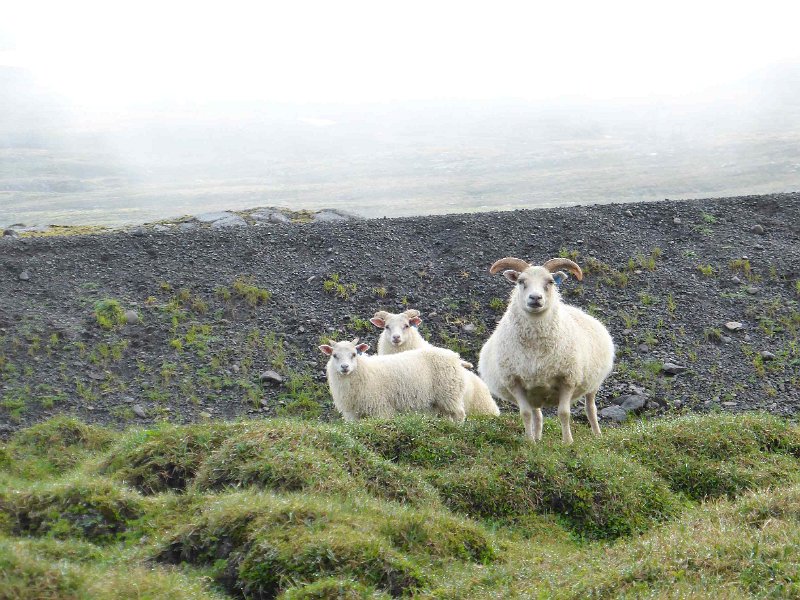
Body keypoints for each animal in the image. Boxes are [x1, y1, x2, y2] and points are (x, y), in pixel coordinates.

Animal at [318, 338, 468, 422]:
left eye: (354, 354)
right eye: (334, 355)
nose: (344, 367)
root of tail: (455, 357)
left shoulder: (380, 407)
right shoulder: (352, 414)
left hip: (450, 394)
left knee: (459, 414)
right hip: (438, 402)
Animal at [478, 255, 616, 442]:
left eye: (550, 281)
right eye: (521, 281)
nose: (535, 298)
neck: (535, 347)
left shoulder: (568, 379)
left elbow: (564, 413)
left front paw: (568, 442)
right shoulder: (515, 382)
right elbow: (525, 414)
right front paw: (529, 442)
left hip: (593, 383)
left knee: (591, 408)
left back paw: (597, 435)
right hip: (533, 391)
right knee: (537, 415)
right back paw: (537, 438)